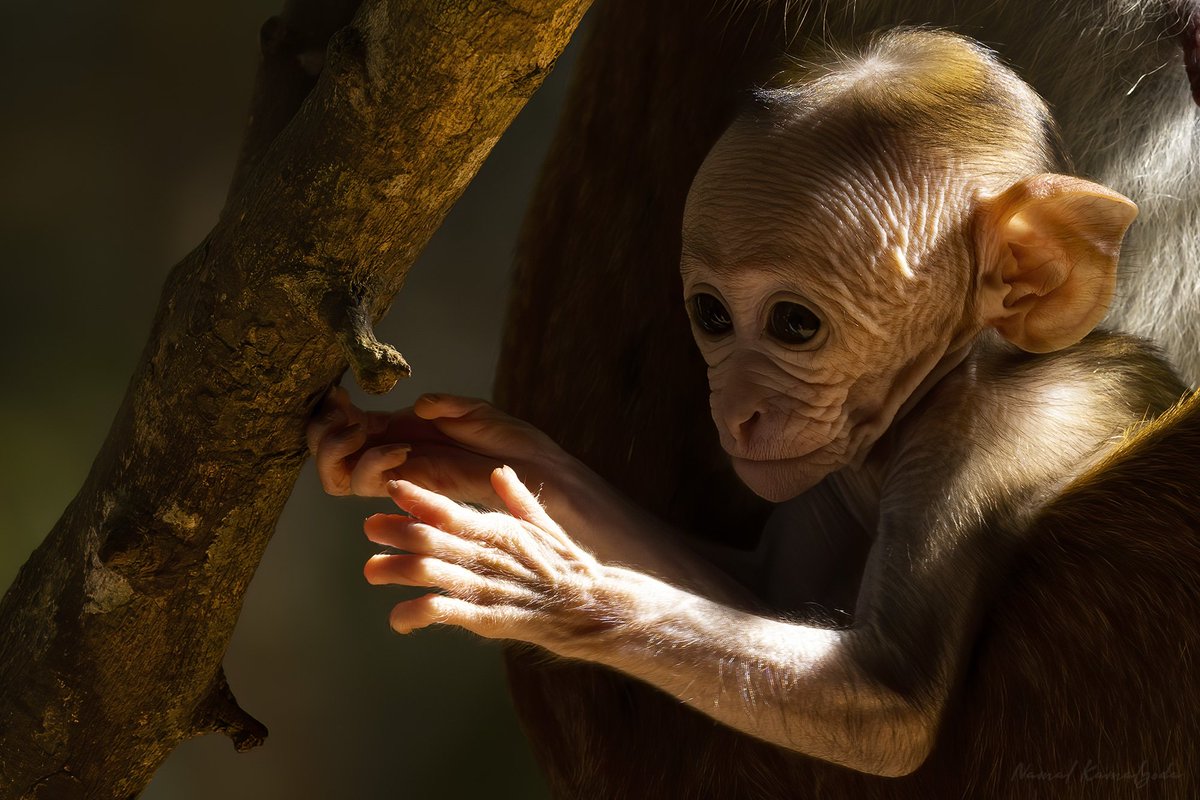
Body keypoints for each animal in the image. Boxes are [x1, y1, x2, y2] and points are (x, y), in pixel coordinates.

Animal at [309, 30, 1188, 777]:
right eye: (711, 316)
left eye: (795, 324)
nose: (733, 410)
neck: (945, 382)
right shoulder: (828, 469)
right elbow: (767, 596)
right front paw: (495, 457)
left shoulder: (991, 438)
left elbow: (889, 692)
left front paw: (554, 587)